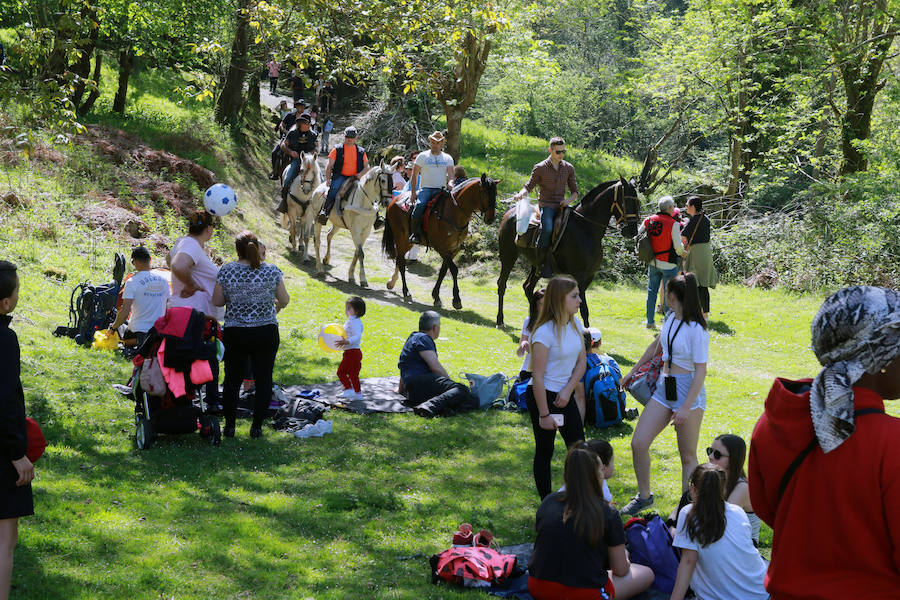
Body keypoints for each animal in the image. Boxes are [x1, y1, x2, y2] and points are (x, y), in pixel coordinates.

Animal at [384, 172, 502, 308]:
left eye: (496, 194)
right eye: (484, 193)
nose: (491, 218)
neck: (454, 212)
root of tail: (394, 200)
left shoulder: (453, 249)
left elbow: (443, 271)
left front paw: (436, 296)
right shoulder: (441, 247)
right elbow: (454, 270)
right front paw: (456, 299)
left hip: (407, 241)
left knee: (400, 259)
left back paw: (391, 282)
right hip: (400, 237)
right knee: (401, 262)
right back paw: (405, 291)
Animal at [492, 177, 640, 328]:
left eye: (637, 202)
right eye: (626, 201)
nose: (632, 231)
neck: (586, 229)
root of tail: (510, 212)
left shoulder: (589, 276)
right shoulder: (579, 276)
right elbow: (583, 309)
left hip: (537, 267)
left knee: (528, 287)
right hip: (508, 256)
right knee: (502, 284)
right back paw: (500, 320)